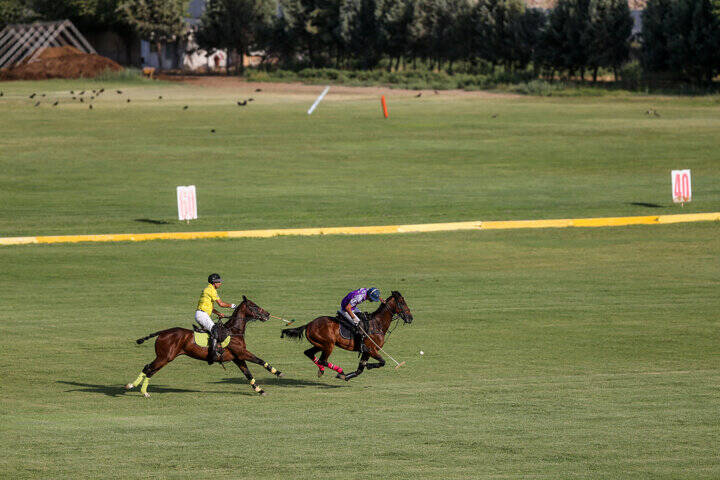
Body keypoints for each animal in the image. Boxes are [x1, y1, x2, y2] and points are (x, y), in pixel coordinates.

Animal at [124, 296, 282, 398]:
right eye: (254, 305)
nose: (267, 314)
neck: (233, 331)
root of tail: (163, 332)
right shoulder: (241, 352)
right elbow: (259, 360)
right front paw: (277, 372)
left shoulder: (237, 357)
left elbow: (248, 374)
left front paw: (260, 390)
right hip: (165, 357)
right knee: (149, 369)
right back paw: (140, 390)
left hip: (163, 357)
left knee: (149, 369)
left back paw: (135, 387)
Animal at [282, 290, 416, 380]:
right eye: (402, 302)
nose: (410, 318)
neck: (377, 324)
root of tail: (309, 324)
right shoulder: (370, 349)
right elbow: (382, 362)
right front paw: (368, 366)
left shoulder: (366, 352)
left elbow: (360, 369)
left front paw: (347, 376)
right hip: (329, 344)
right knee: (322, 360)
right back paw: (339, 370)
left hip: (319, 344)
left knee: (309, 354)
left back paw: (322, 371)